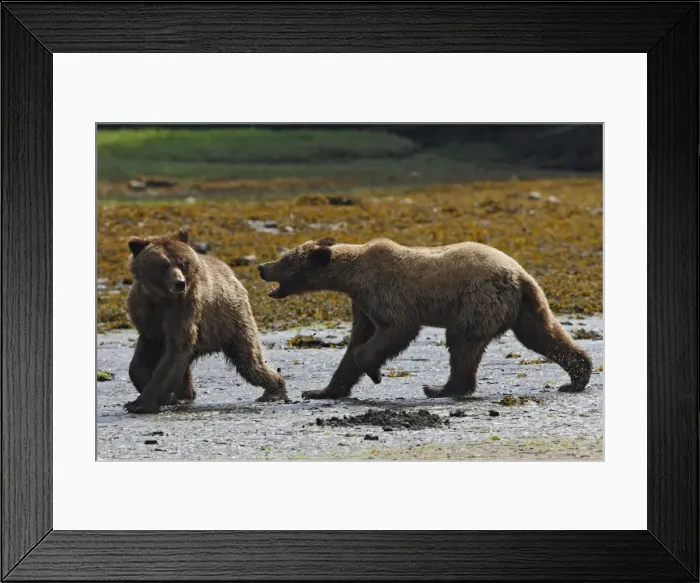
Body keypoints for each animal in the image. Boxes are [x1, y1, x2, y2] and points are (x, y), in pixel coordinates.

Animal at [123, 228, 287, 414]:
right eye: (163, 265)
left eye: (182, 263)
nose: (179, 283)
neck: (161, 298)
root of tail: (230, 272)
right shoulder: (146, 314)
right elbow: (141, 359)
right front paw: (150, 390)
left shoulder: (184, 308)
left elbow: (175, 350)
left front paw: (141, 403)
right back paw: (184, 394)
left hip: (231, 321)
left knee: (249, 362)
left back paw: (274, 390)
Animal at [258, 237, 592, 400]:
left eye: (285, 260)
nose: (262, 266)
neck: (350, 276)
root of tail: (521, 274)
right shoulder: (362, 304)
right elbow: (354, 344)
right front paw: (319, 391)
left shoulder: (384, 292)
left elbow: (395, 330)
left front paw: (375, 372)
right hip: (524, 305)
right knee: (542, 334)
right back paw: (578, 375)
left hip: (479, 298)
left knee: (462, 342)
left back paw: (442, 388)